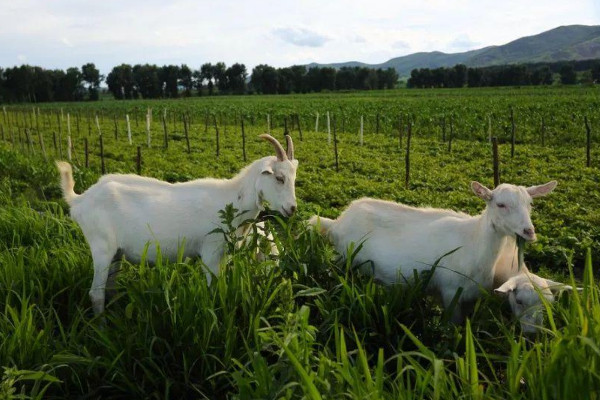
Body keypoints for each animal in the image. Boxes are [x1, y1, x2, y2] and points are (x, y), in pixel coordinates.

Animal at [57, 135, 296, 316]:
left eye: (294, 178)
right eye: (279, 178)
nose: (292, 208)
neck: (232, 200)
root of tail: (80, 200)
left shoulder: (223, 255)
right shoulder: (211, 251)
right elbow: (213, 290)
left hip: (116, 253)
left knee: (111, 288)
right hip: (101, 247)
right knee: (96, 293)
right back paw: (102, 326)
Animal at [310, 180, 556, 324]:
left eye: (530, 204)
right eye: (501, 205)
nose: (529, 231)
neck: (474, 241)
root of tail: (337, 222)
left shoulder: (472, 296)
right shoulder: (450, 293)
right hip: (344, 260)